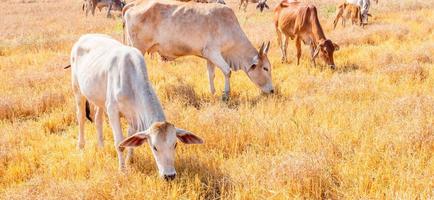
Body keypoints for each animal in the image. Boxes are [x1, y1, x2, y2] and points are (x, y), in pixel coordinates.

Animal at [69, 34, 203, 180]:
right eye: (154, 147)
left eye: (175, 144)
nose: (169, 175)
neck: (131, 81)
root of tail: (83, 37)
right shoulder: (112, 110)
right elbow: (120, 143)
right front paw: (122, 170)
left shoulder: (133, 116)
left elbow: (130, 139)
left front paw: (129, 161)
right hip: (77, 90)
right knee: (81, 117)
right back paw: (81, 145)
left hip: (99, 99)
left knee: (98, 119)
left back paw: (101, 146)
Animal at [123, 0, 272, 100]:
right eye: (265, 68)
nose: (272, 91)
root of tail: (134, 4)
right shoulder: (213, 52)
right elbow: (227, 71)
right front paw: (226, 95)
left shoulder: (209, 56)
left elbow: (211, 74)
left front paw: (213, 93)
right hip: (139, 48)